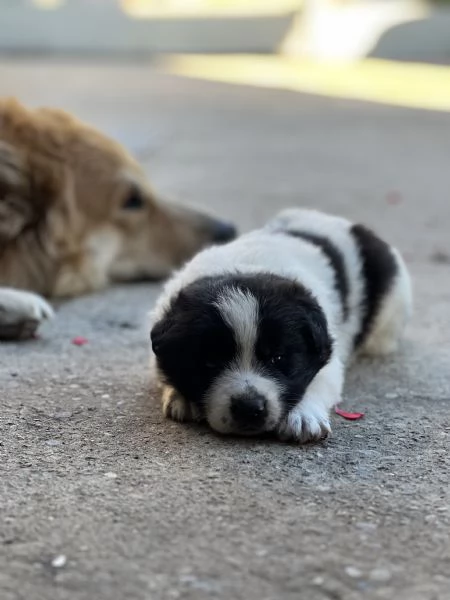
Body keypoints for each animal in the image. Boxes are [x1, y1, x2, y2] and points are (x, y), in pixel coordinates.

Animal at [150, 209, 412, 442]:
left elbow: (319, 379)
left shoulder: (327, 348)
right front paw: (181, 396)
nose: (249, 408)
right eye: (210, 362)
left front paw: (304, 416)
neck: (244, 266)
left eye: (278, 358)